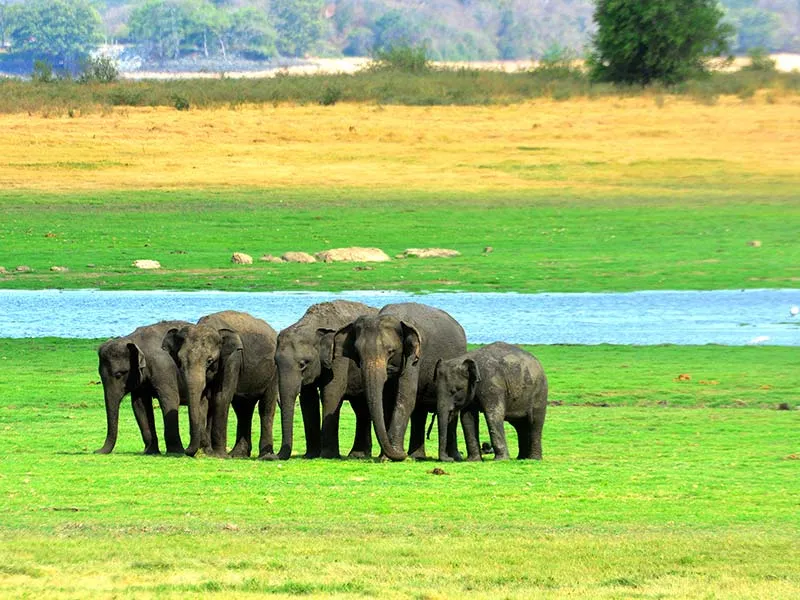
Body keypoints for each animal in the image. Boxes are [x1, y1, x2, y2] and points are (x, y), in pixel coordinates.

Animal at [95, 320, 190, 455]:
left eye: (118, 375)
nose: (96, 451)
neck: (133, 339)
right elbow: (139, 406)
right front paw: (150, 452)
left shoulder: (164, 369)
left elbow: (169, 400)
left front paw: (176, 452)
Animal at [162, 311, 278, 458]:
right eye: (180, 361)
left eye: (209, 360)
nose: (186, 450)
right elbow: (203, 402)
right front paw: (207, 451)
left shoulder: (233, 359)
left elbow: (221, 398)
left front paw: (218, 455)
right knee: (243, 408)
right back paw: (238, 454)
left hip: (273, 372)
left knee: (265, 407)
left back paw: (265, 455)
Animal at [271, 300, 378, 460]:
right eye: (275, 363)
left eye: (303, 364)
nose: (273, 455)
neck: (314, 323)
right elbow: (308, 399)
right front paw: (310, 455)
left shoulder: (339, 358)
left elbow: (331, 393)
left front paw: (328, 456)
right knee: (361, 408)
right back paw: (358, 455)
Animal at [333, 302, 467, 461]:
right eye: (358, 353)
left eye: (391, 351)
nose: (403, 455)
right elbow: (386, 403)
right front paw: (386, 456)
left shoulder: (415, 357)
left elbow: (405, 399)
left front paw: (389, 457)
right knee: (419, 411)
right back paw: (416, 456)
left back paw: (453, 457)